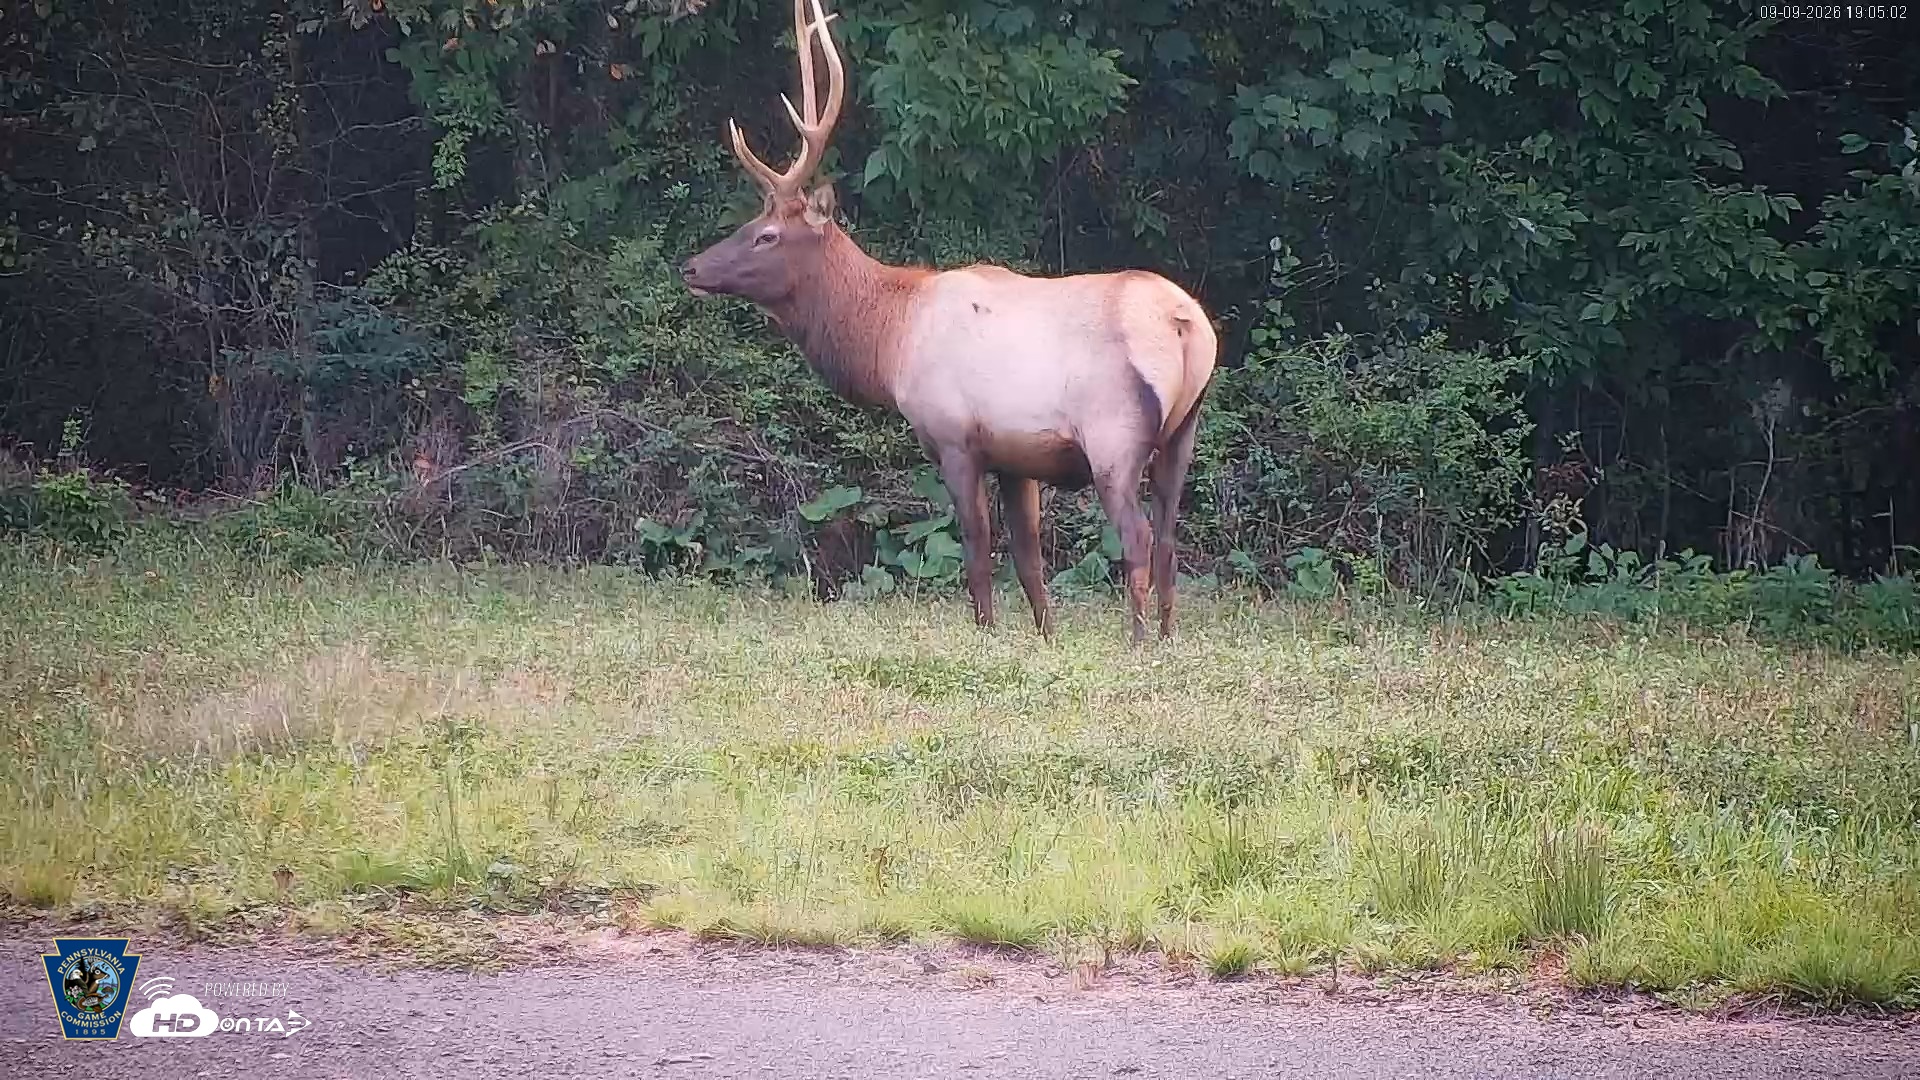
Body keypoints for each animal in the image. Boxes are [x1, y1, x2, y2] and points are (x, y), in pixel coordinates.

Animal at [679, 0, 1218, 645]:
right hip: (1184, 432)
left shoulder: (955, 434)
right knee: (1168, 537)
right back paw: (1166, 636)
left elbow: (976, 547)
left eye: (766, 235)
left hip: (1114, 434)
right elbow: (1030, 559)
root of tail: (1186, 323)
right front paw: (1045, 639)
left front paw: (986, 632)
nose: (691, 267)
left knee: (1136, 535)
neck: (890, 341)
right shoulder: (1018, 456)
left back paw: (1136, 642)